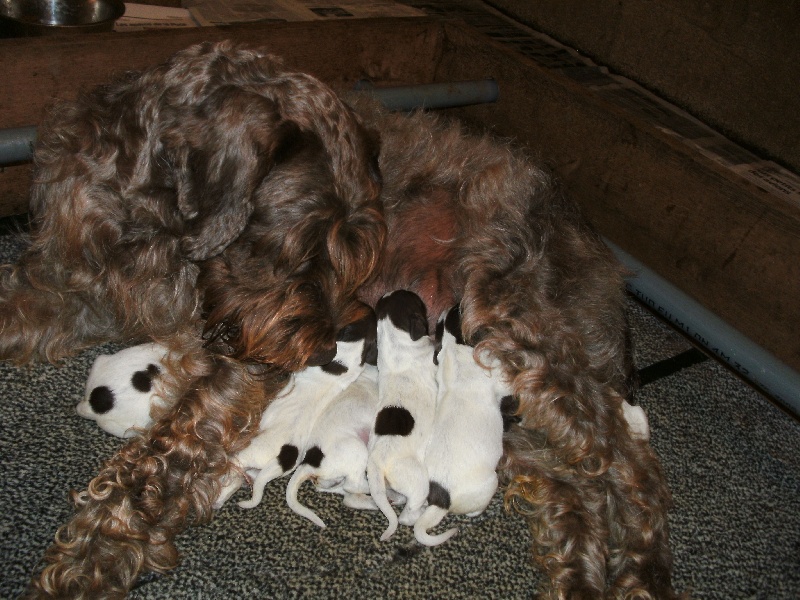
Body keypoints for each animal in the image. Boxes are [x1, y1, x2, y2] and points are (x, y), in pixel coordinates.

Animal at [368, 290, 438, 544]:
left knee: (396, 498)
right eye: (419, 302)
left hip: (386, 486)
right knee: (408, 514)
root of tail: (376, 463)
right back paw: (419, 511)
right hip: (418, 481)